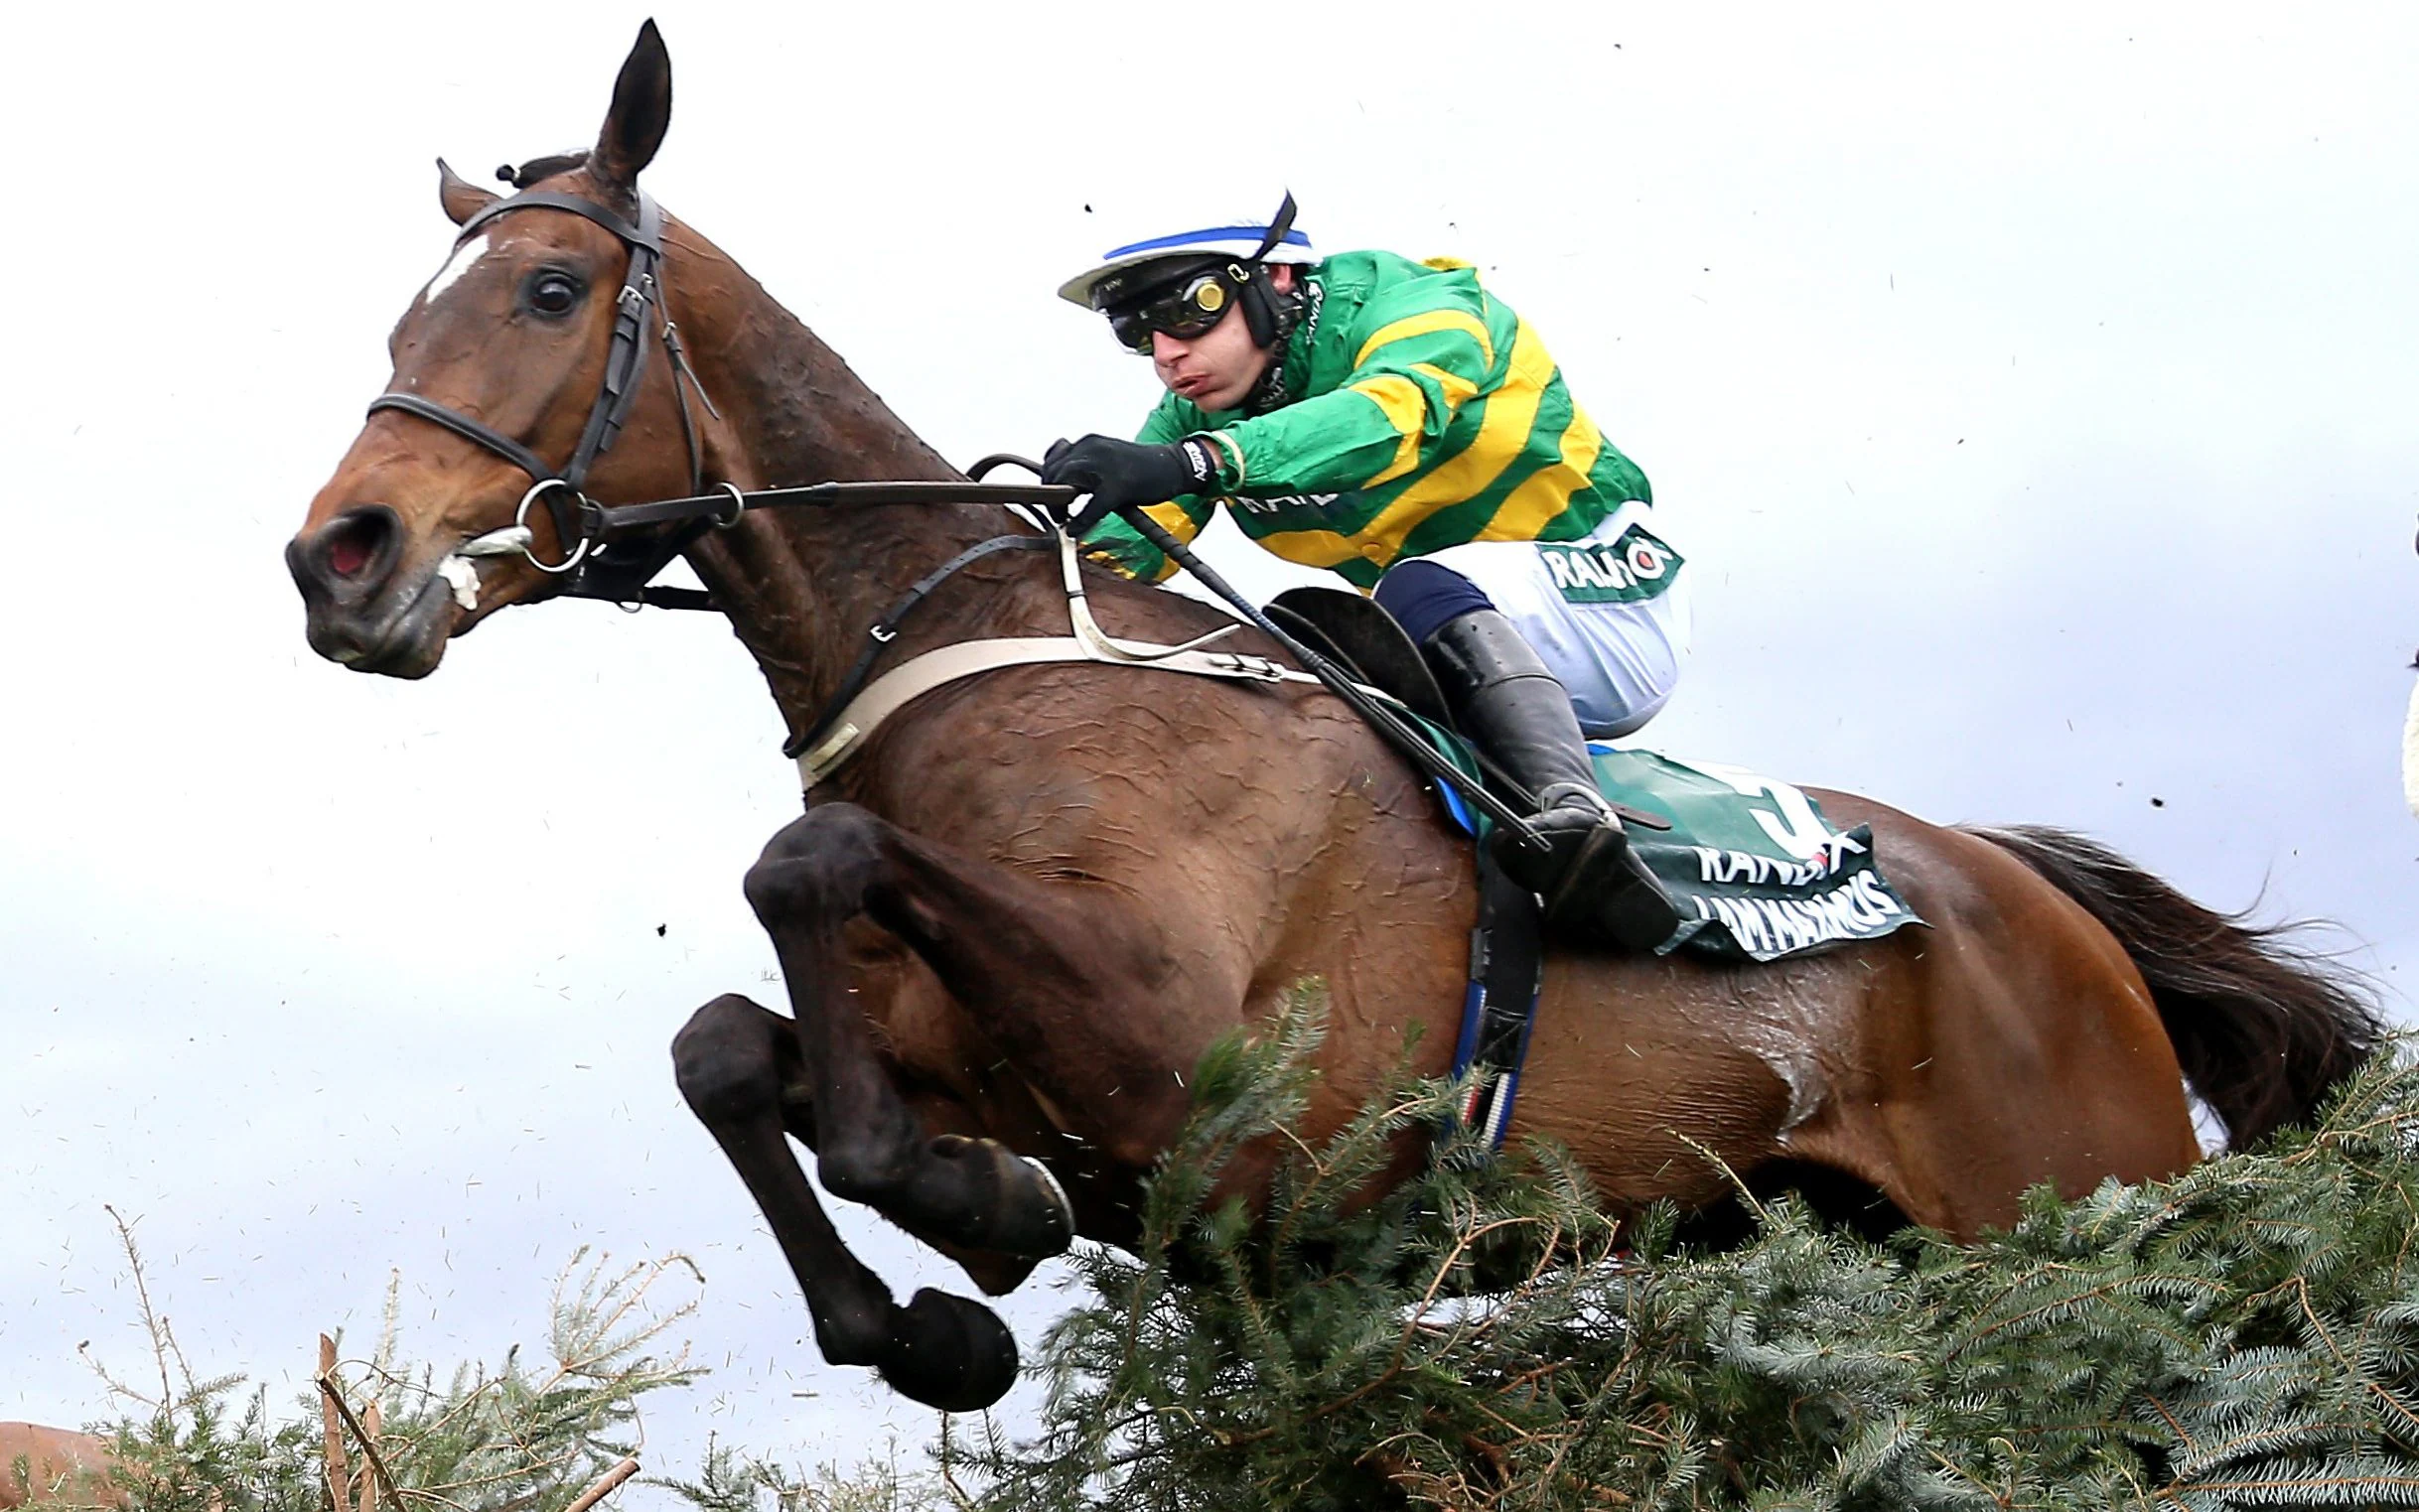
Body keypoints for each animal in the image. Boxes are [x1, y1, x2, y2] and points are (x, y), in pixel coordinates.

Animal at [286, 23, 2382, 1413]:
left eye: (550, 289)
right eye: (399, 319)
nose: (337, 556)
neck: (970, 640)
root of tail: (2046, 908)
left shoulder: (1172, 1060)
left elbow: (814, 853)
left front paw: (972, 1217)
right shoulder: (984, 1059)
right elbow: (728, 1044)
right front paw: (940, 1302)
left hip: (2071, 1188)